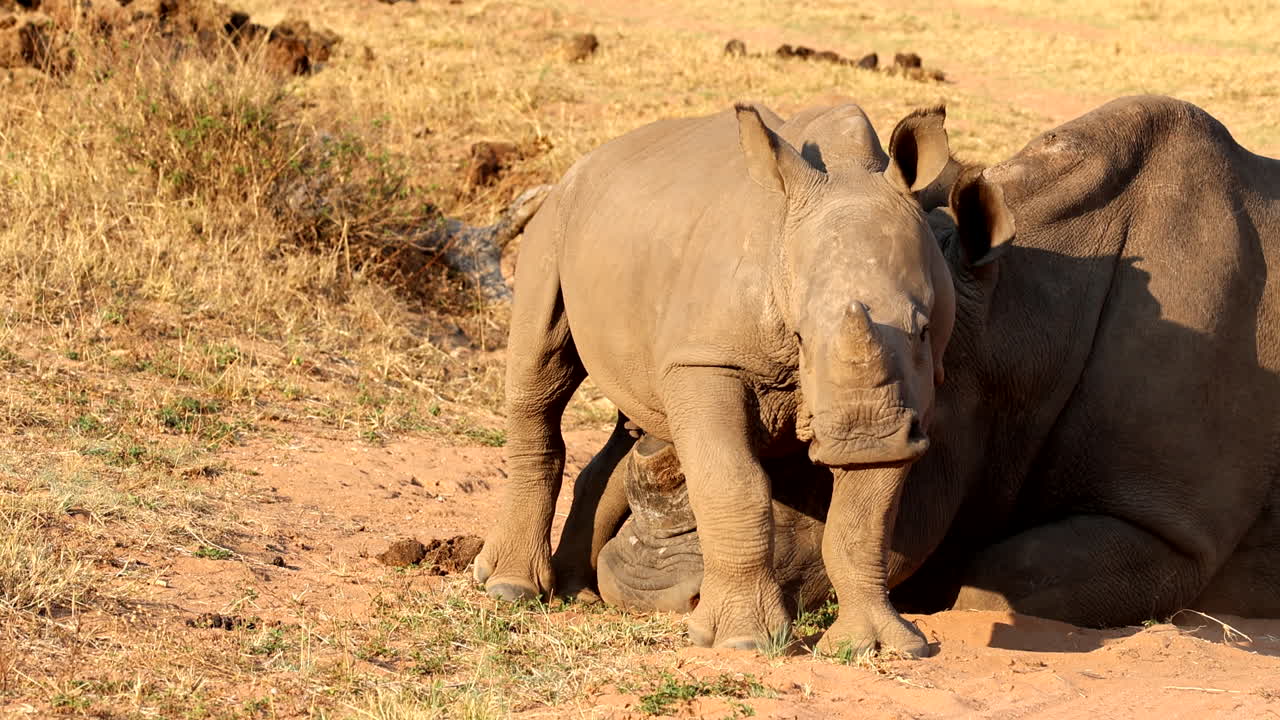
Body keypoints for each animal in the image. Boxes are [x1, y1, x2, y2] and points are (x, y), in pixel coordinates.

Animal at [474, 100, 1006, 655]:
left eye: (922, 330)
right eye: (799, 336)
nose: (864, 436)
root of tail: (587, 161)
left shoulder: (907, 397)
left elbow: (865, 519)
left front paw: (880, 646)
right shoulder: (707, 360)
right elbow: (733, 483)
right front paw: (743, 642)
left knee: (636, 415)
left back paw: (577, 592)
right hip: (554, 222)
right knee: (539, 375)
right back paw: (509, 588)